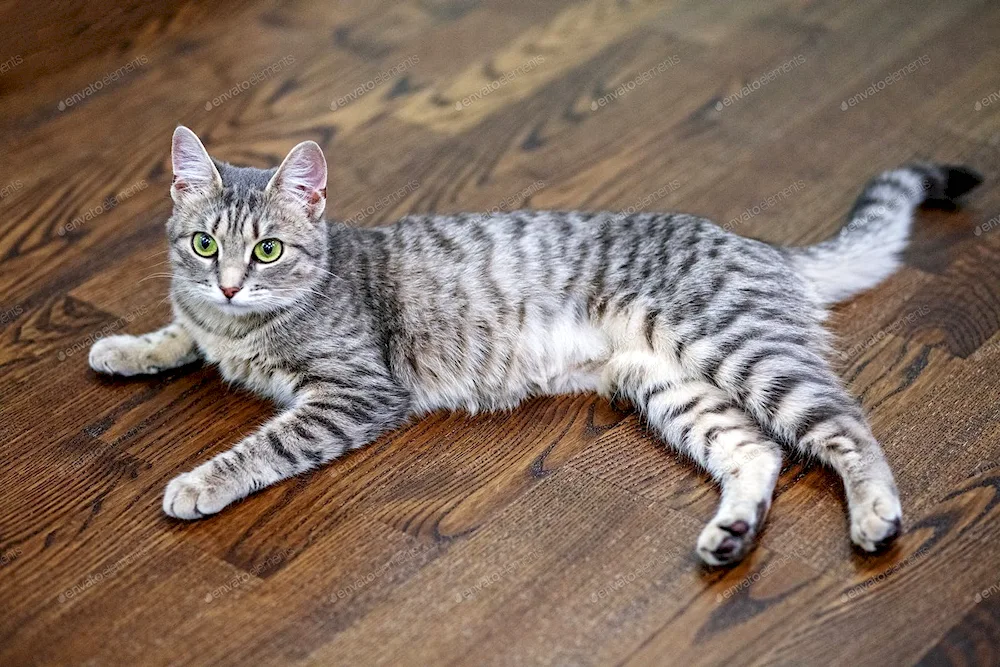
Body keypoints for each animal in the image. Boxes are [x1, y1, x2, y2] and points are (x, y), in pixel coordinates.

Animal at [90, 125, 980, 564]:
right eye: (205, 244)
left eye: (268, 250)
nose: (230, 283)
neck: (246, 325)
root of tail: (761, 246)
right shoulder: (207, 318)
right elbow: (180, 330)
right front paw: (127, 346)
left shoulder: (352, 392)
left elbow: (260, 444)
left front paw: (198, 481)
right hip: (673, 388)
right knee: (757, 452)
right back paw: (730, 534)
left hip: (743, 351)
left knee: (848, 427)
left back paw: (877, 516)